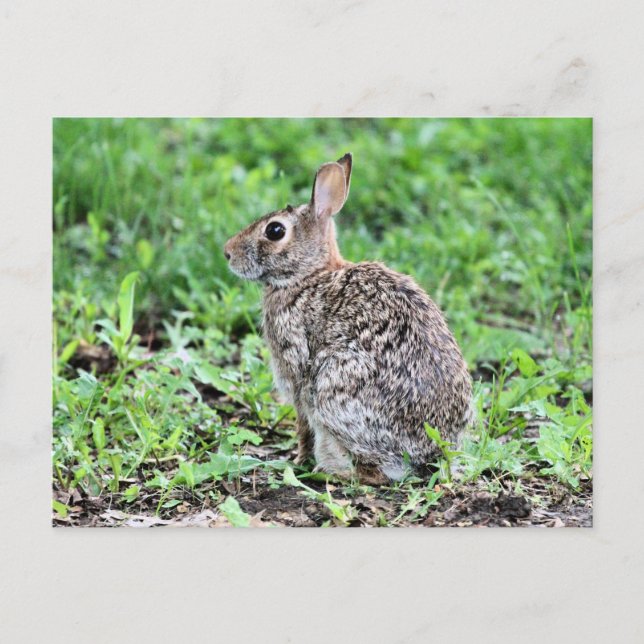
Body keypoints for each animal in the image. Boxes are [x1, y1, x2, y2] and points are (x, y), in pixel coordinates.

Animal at [224, 153, 473, 483]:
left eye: (275, 231)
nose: (227, 252)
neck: (309, 275)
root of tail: (429, 449)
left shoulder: (297, 372)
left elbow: (302, 424)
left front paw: (297, 459)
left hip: (334, 386)